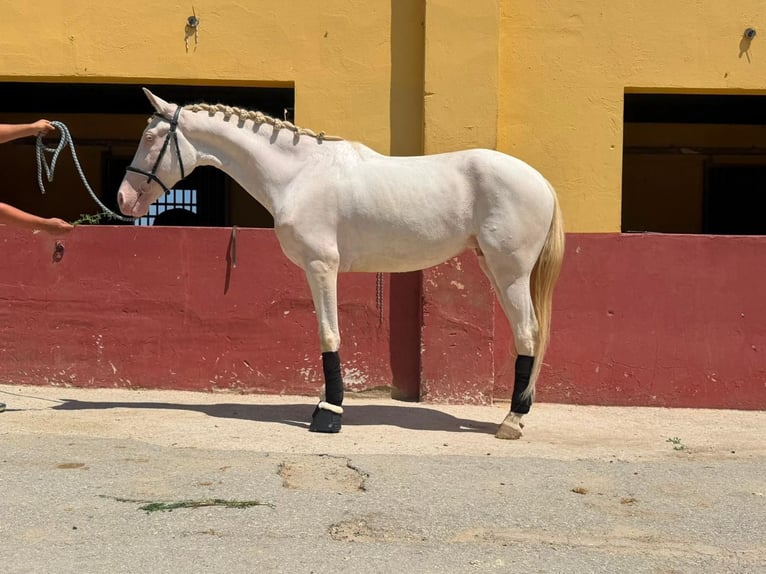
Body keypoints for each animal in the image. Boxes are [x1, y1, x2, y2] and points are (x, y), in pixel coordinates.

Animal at [117, 89, 565, 440]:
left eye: (151, 136)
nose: (123, 199)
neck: (300, 174)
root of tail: (542, 182)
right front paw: (325, 403)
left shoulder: (321, 266)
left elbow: (328, 335)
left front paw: (329, 413)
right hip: (494, 268)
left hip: (510, 274)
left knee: (527, 334)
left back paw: (511, 420)